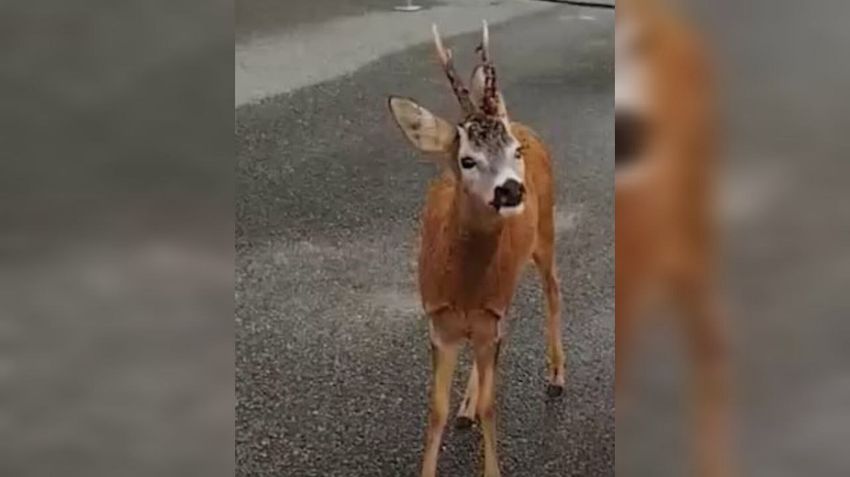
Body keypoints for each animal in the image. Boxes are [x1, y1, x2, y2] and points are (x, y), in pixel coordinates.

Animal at [388, 21, 568, 476]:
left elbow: (492, 407)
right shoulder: (441, 322)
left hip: (546, 230)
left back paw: (557, 376)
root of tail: (514, 117)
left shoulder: (490, 320)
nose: (511, 189)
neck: (465, 291)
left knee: (553, 289)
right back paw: (466, 408)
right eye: (467, 159)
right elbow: (435, 410)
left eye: (514, 152)